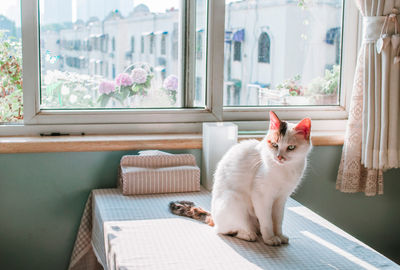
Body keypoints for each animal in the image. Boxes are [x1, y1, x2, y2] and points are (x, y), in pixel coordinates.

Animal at [170, 110, 312, 246]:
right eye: (274, 144)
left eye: (291, 147)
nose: (279, 157)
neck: (284, 170)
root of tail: (214, 218)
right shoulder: (261, 196)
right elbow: (267, 221)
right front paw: (270, 238)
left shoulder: (281, 198)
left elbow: (278, 220)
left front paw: (279, 236)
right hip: (233, 200)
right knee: (225, 230)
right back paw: (248, 234)